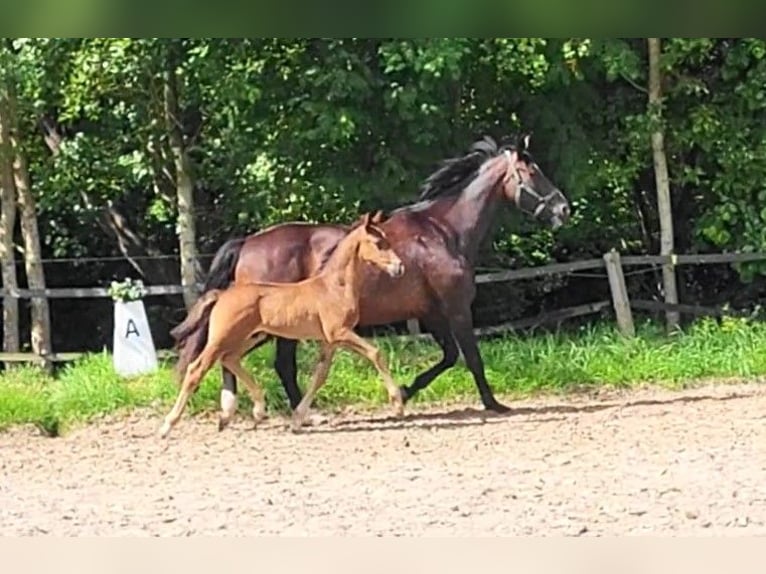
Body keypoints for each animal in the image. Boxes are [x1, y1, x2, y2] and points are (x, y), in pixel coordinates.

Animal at [159, 211, 405, 439]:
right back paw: (168, 425)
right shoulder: (340, 333)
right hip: (223, 337)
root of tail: (221, 294)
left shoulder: (329, 341)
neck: (333, 286)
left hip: (252, 336)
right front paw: (398, 405)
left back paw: (257, 410)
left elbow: (320, 376)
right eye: (378, 243)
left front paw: (297, 420)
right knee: (197, 368)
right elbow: (376, 353)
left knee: (230, 359)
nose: (400, 268)